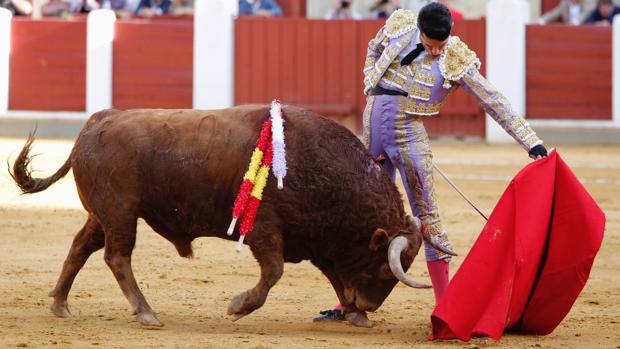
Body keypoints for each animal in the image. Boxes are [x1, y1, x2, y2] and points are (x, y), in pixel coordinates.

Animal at [10, 105, 456, 326]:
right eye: (384, 269)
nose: (370, 305)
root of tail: (93, 124)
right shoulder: (264, 229)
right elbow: (273, 272)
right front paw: (239, 306)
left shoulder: (318, 240)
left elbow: (332, 275)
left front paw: (353, 314)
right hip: (121, 212)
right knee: (117, 257)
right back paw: (146, 312)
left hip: (104, 214)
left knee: (81, 246)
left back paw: (60, 304)